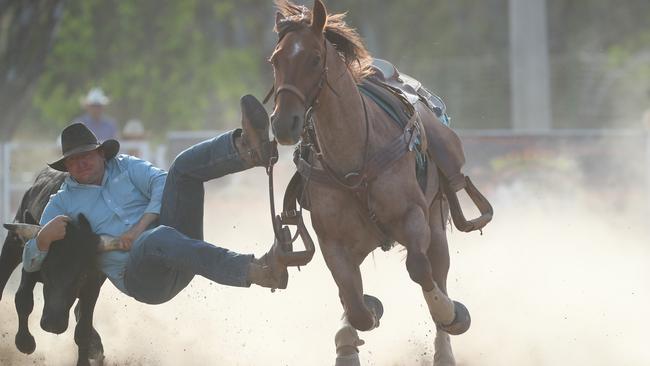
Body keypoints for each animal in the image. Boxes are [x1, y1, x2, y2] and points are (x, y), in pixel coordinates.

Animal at [266, 1, 488, 364]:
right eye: (275, 60)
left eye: (314, 58)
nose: (284, 123)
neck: (355, 162)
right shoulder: (333, 244)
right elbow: (354, 302)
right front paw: (355, 331)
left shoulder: (413, 217)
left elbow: (419, 269)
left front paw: (450, 313)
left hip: (436, 222)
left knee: (437, 272)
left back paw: (445, 344)